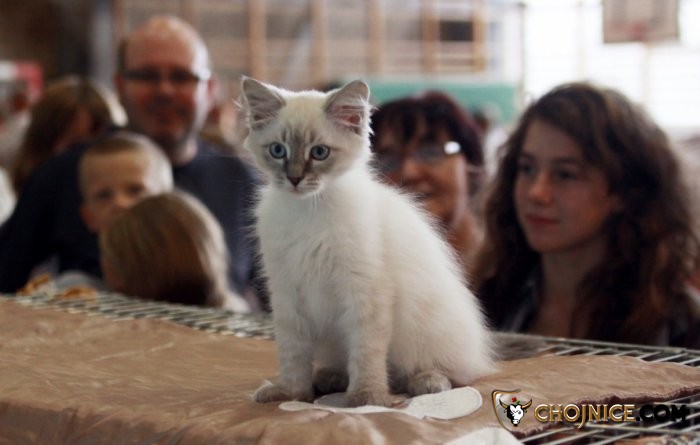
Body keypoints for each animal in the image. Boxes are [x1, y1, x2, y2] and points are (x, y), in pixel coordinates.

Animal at [240, 77, 495, 407]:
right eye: (278, 151)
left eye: (319, 153)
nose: (295, 179)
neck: (309, 210)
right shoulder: (287, 294)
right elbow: (293, 355)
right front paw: (291, 393)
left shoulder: (365, 291)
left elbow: (366, 353)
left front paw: (366, 398)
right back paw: (330, 377)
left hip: (428, 332)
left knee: (445, 373)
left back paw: (426, 381)